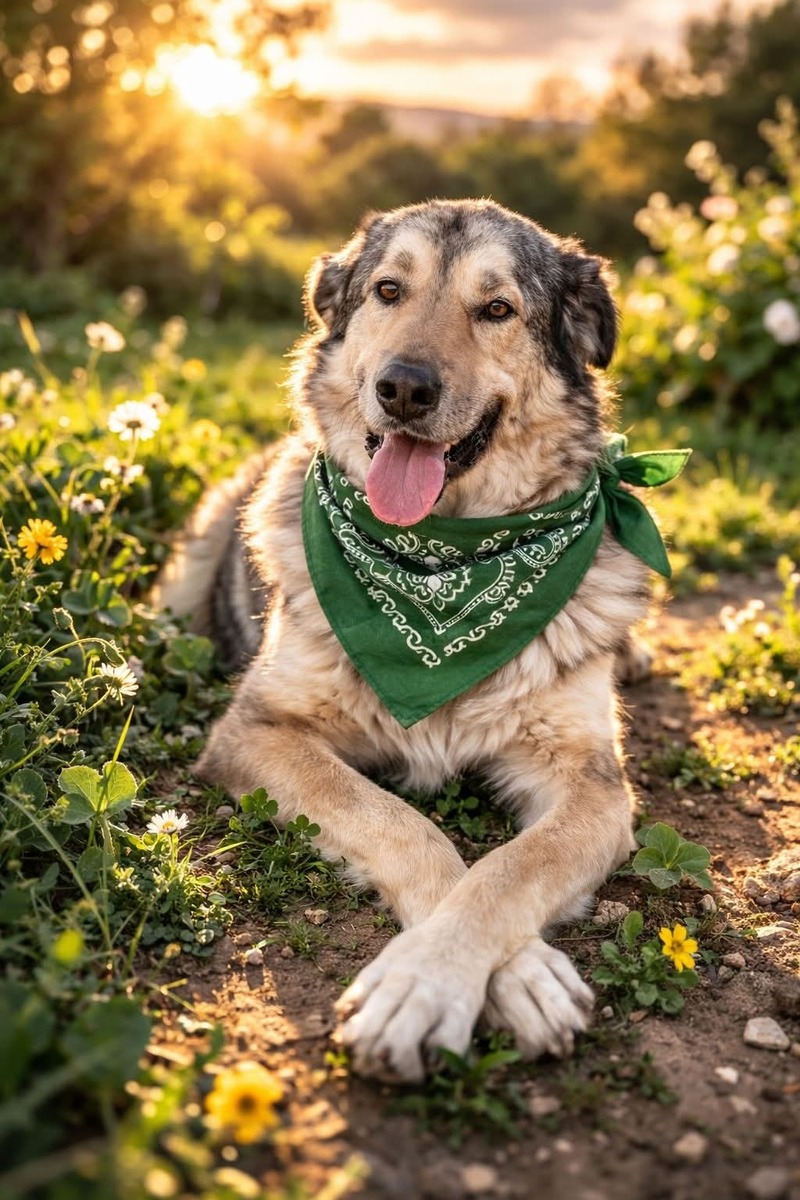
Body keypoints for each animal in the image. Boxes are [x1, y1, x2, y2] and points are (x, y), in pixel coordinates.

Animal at [155, 199, 659, 1082]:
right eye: (389, 290)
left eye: (497, 309)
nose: (403, 389)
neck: (442, 568)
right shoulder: (258, 732)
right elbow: (403, 825)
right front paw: (447, 983)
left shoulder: (593, 784)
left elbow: (508, 870)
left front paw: (445, 978)